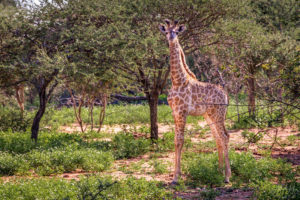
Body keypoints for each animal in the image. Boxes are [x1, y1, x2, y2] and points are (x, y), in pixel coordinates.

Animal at [159, 19, 232, 184]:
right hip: (209, 115)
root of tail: (225, 95)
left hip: (218, 114)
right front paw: (175, 175)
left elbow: (180, 140)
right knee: (218, 138)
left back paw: (227, 177)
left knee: (225, 136)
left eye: (176, 31)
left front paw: (176, 177)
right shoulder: (174, 112)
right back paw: (219, 171)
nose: (171, 38)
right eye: (167, 31)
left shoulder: (182, 111)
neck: (178, 81)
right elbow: (176, 140)